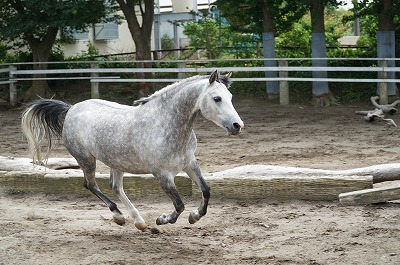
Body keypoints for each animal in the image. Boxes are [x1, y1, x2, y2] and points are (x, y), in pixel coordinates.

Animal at [21, 70, 244, 229]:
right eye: (217, 98)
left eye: (231, 96)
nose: (237, 125)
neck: (165, 124)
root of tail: (71, 110)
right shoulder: (162, 174)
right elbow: (179, 205)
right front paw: (162, 219)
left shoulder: (189, 163)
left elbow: (206, 190)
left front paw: (194, 216)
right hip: (86, 159)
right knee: (90, 185)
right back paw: (120, 216)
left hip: (116, 161)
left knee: (115, 186)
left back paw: (139, 222)